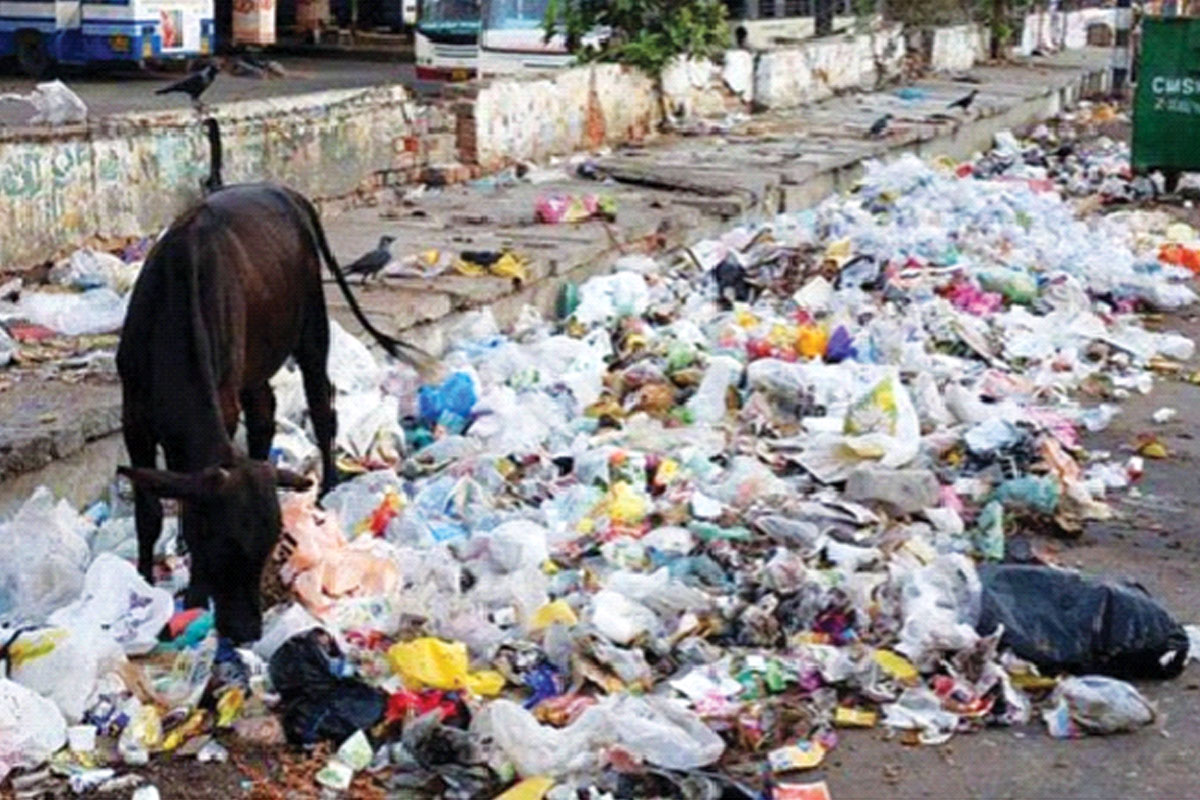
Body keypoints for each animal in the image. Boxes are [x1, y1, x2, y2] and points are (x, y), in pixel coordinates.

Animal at [117, 183, 427, 642]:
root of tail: (284, 191)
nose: (247, 631)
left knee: (321, 404)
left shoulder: (223, 401)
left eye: (266, 548)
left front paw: (192, 596)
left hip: (312, 325)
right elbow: (150, 512)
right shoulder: (134, 418)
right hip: (258, 362)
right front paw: (146, 577)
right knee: (265, 417)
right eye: (224, 545)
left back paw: (330, 483)